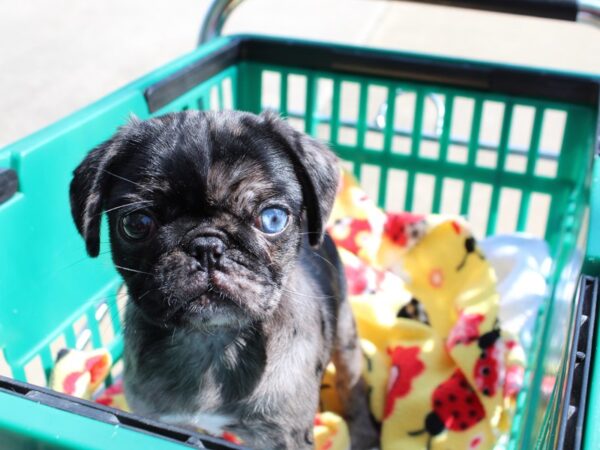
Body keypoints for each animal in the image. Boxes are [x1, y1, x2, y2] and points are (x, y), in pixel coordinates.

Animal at [69, 110, 376, 448]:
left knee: (353, 388)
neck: (211, 340)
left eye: (272, 218)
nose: (206, 246)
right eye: (137, 223)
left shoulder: (282, 437)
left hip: (346, 335)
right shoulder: (158, 420)